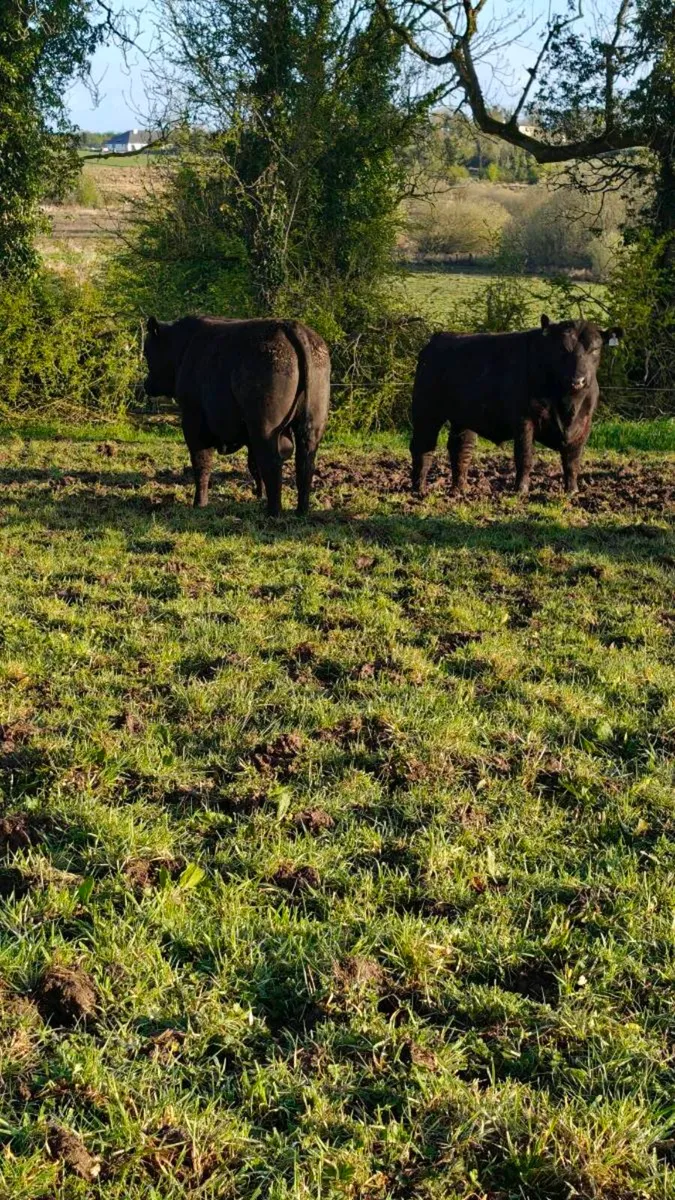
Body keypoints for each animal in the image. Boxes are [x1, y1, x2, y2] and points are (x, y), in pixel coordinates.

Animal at [143, 315, 330, 516]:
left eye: (147, 354)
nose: (146, 384)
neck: (183, 348)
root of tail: (289, 326)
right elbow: (253, 465)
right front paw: (258, 496)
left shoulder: (194, 422)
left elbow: (201, 462)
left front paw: (199, 503)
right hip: (311, 426)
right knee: (305, 463)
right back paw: (301, 511)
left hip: (266, 429)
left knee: (272, 462)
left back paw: (273, 512)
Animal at [410, 315, 623, 497]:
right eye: (562, 349)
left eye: (595, 349)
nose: (578, 380)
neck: (568, 404)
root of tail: (441, 337)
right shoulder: (524, 419)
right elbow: (525, 456)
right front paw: (521, 489)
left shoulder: (584, 424)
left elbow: (572, 460)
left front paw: (572, 490)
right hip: (426, 410)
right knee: (423, 446)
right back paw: (419, 489)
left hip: (463, 417)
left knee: (461, 448)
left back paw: (459, 489)